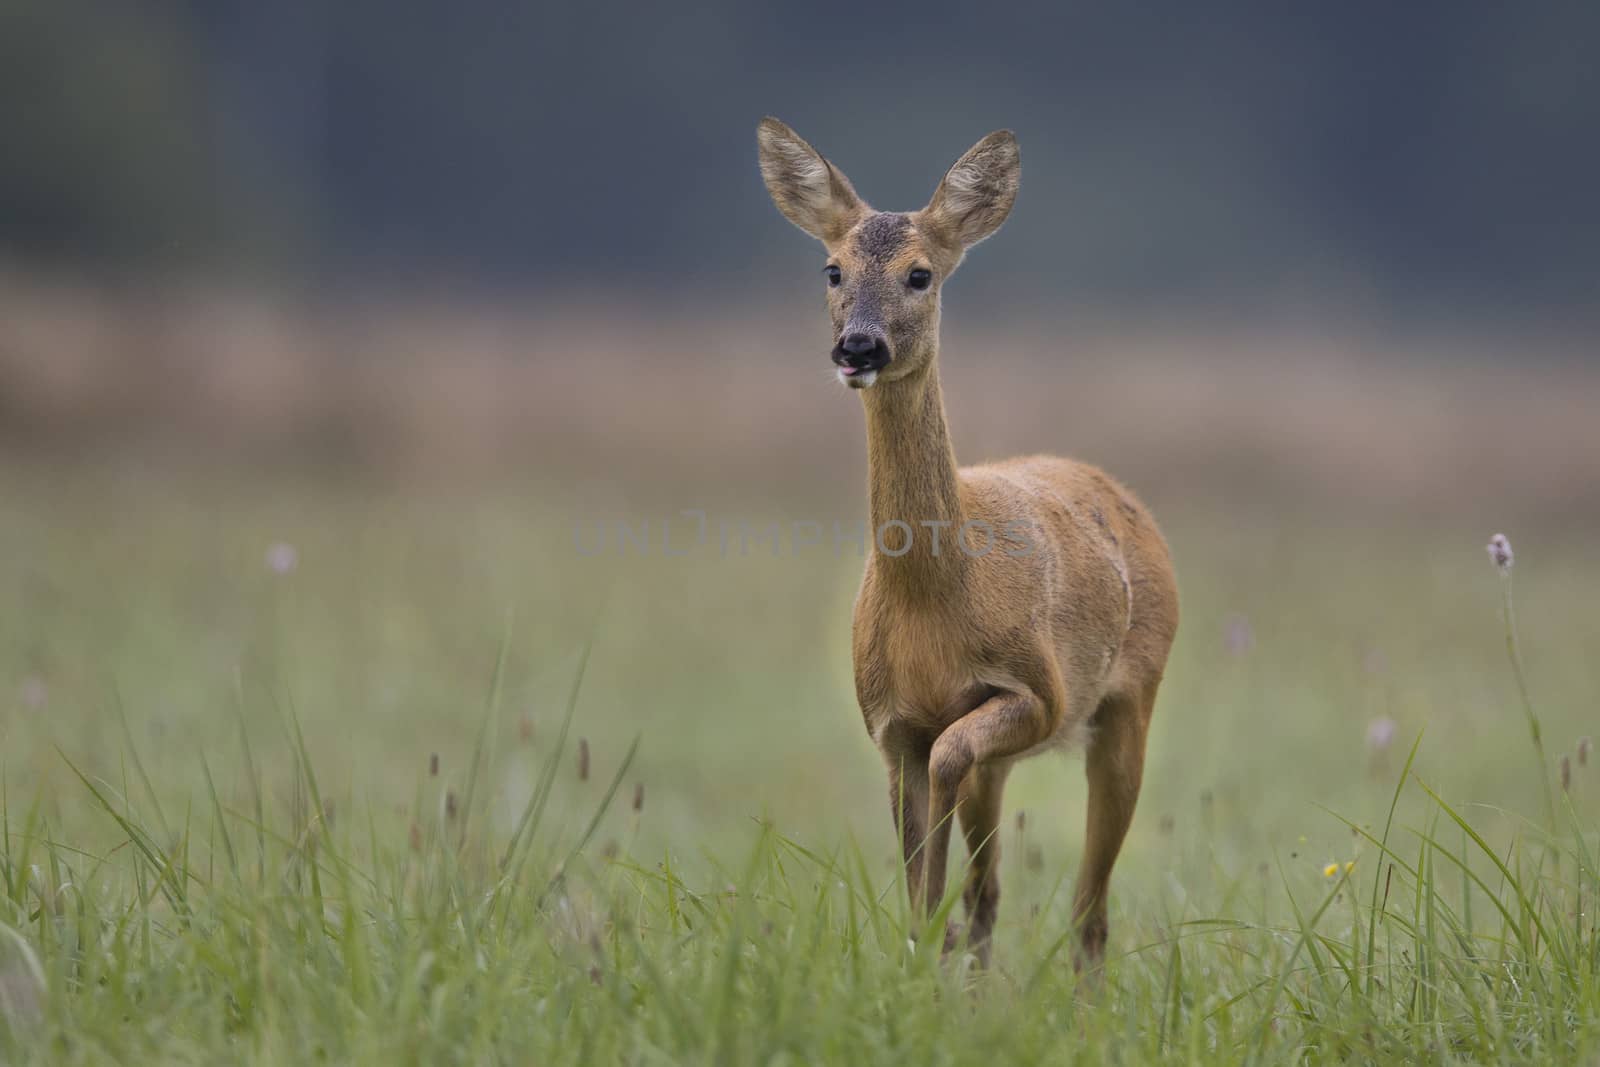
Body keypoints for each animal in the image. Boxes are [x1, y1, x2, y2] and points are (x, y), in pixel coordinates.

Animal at [755, 116, 1184, 966]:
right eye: (832, 268)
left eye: (920, 274)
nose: (859, 347)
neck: (938, 601)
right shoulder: (891, 726)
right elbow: (926, 871)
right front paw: (924, 947)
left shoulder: (1040, 692)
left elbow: (953, 761)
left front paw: (934, 931)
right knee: (994, 895)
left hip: (1130, 703)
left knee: (1090, 910)